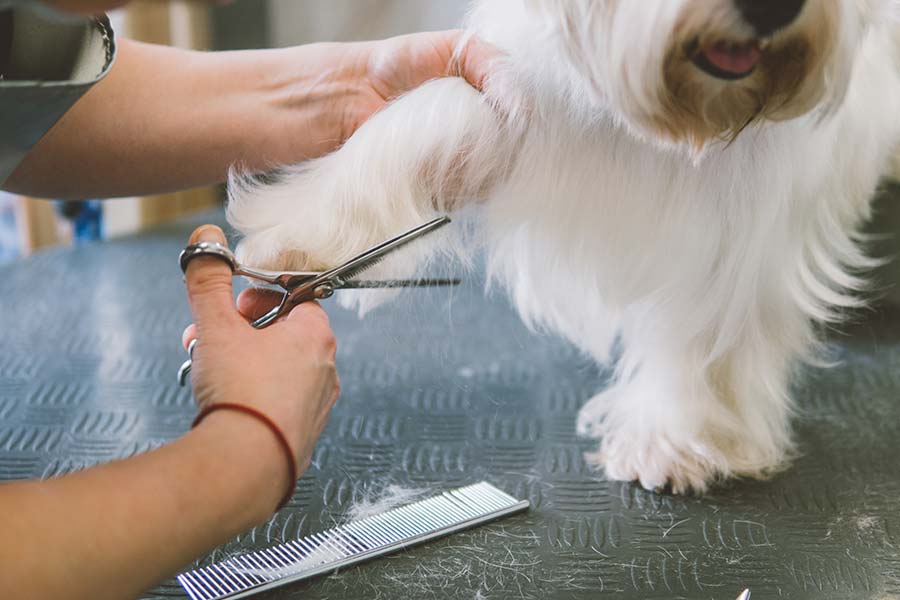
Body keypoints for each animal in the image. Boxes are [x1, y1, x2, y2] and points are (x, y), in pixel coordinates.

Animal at [227, 0, 900, 492]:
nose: (772, 7)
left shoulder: (745, 215)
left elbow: (704, 330)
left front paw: (674, 437)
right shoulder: (522, 88)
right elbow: (431, 113)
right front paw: (301, 237)